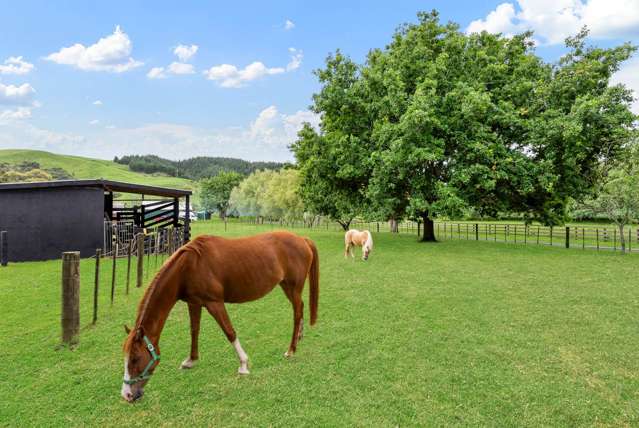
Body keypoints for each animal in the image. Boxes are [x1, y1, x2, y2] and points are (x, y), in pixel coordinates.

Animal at [120, 231, 320, 402]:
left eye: (135, 358)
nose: (127, 395)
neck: (190, 266)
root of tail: (302, 239)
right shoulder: (194, 303)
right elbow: (194, 330)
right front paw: (191, 360)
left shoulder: (214, 303)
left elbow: (229, 332)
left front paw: (243, 365)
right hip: (286, 286)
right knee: (300, 309)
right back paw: (299, 337)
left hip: (293, 287)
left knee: (297, 312)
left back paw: (291, 350)